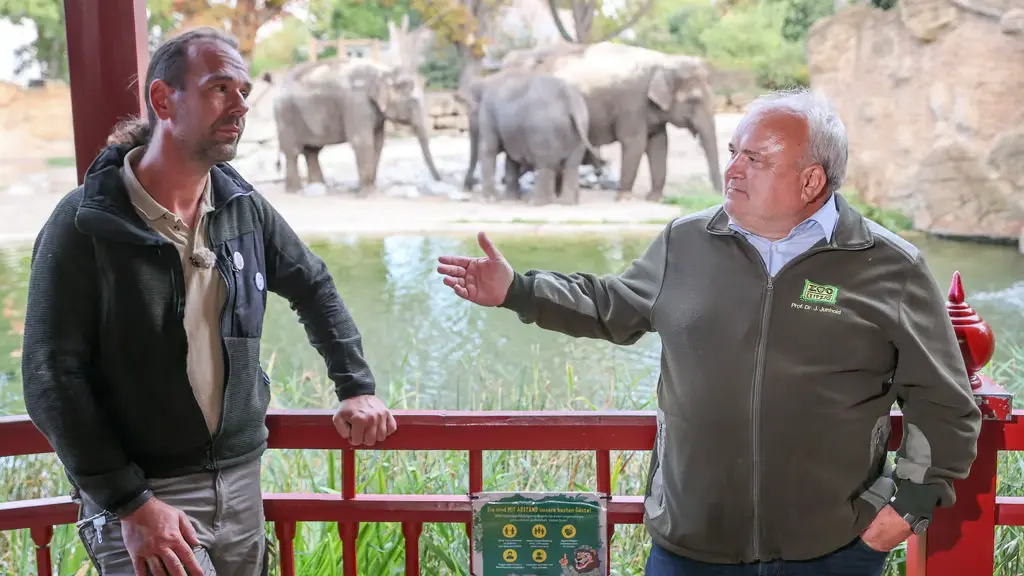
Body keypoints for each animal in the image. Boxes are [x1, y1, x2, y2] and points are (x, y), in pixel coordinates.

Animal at [272, 56, 440, 193]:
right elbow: (362, 141)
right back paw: (295, 190)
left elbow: (377, 143)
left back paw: (319, 187)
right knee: (293, 152)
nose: (439, 180)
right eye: (413, 102)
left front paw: (370, 190)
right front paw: (366, 194)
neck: (385, 71)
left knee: (312, 151)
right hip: (285, 116)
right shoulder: (357, 102)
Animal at [458, 69, 598, 204]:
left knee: (545, 164)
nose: (467, 187)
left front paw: (491, 199)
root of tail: (569, 99)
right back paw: (566, 202)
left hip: (543, 131)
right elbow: (511, 159)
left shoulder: (488, 115)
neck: (486, 81)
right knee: (571, 166)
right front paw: (511, 199)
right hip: (580, 130)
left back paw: (537, 202)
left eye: (471, 113)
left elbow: (489, 149)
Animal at [501, 41, 724, 201]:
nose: (715, 195)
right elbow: (635, 143)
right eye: (694, 100)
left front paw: (655, 199)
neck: (665, 61)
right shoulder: (632, 103)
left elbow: (659, 145)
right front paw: (624, 198)